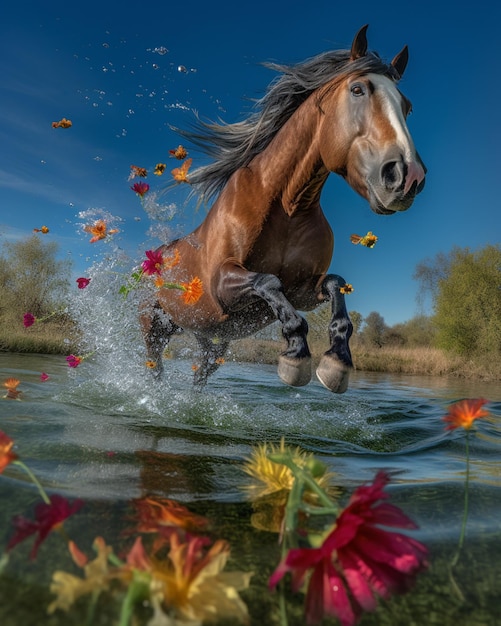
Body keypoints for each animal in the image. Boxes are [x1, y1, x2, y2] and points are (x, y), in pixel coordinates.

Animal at [139, 28, 424, 394]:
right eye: (358, 89)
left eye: (408, 107)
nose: (407, 177)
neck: (286, 207)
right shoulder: (222, 286)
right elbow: (269, 282)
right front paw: (296, 358)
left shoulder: (303, 291)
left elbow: (335, 285)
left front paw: (336, 363)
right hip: (155, 328)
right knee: (155, 368)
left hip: (209, 338)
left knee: (201, 371)